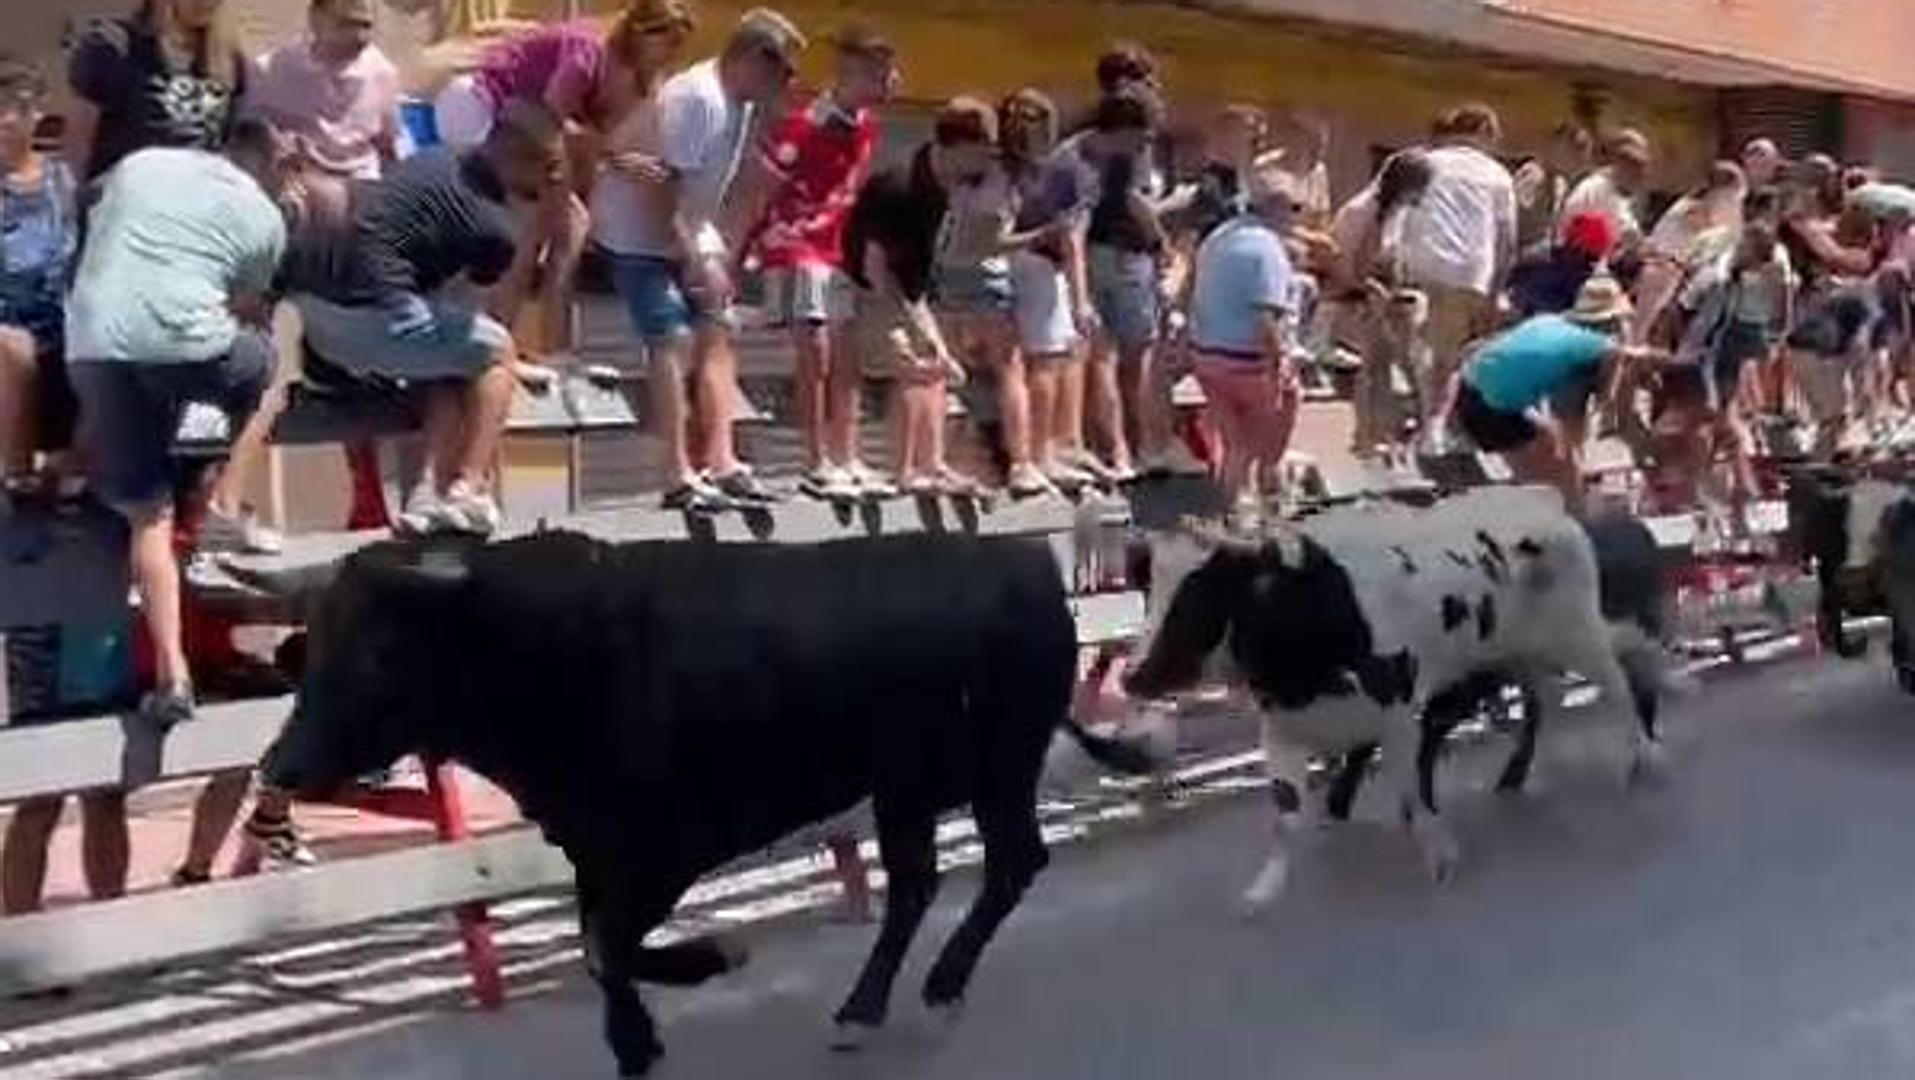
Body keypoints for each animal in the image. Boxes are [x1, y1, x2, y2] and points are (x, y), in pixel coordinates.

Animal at [248, 532, 1156, 1080]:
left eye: (380, 647)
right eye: (313, 646)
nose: (281, 766)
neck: (559, 647)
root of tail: (1026, 560)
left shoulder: (668, 847)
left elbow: (607, 947)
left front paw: (711, 961)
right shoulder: (595, 847)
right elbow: (597, 947)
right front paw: (635, 1043)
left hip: (999, 765)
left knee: (1009, 864)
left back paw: (933, 990)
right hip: (904, 787)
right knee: (914, 885)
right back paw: (862, 1009)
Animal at [1118, 486, 1662, 911]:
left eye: (1199, 594)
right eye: (1149, 591)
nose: (1132, 676)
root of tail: (1546, 504)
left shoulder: (1397, 713)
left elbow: (1410, 782)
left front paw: (1438, 854)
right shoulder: (1283, 728)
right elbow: (1286, 816)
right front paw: (1263, 891)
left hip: (1576, 636)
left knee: (1616, 684)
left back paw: (1637, 756)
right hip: (1516, 654)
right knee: (1542, 700)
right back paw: (1522, 774)